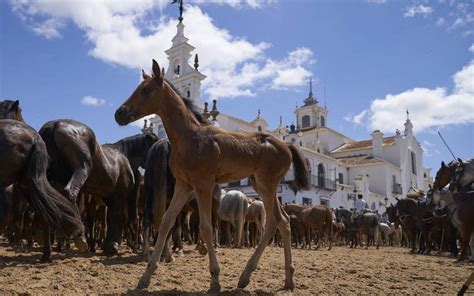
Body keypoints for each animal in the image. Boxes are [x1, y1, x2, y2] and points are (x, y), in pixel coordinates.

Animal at [113, 59, 310, 292]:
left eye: (146, 90)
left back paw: (248, 275)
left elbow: (206, 227)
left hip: (267, 185)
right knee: (284, 221)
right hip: (260, 185)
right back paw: (286, 279)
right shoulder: (183, 185)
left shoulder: (203, 185)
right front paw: (146, 276)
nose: (119, 113)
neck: (189, 137)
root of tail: (287, 145)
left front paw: (215, 279)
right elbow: (166, 221)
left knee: (273, 221)